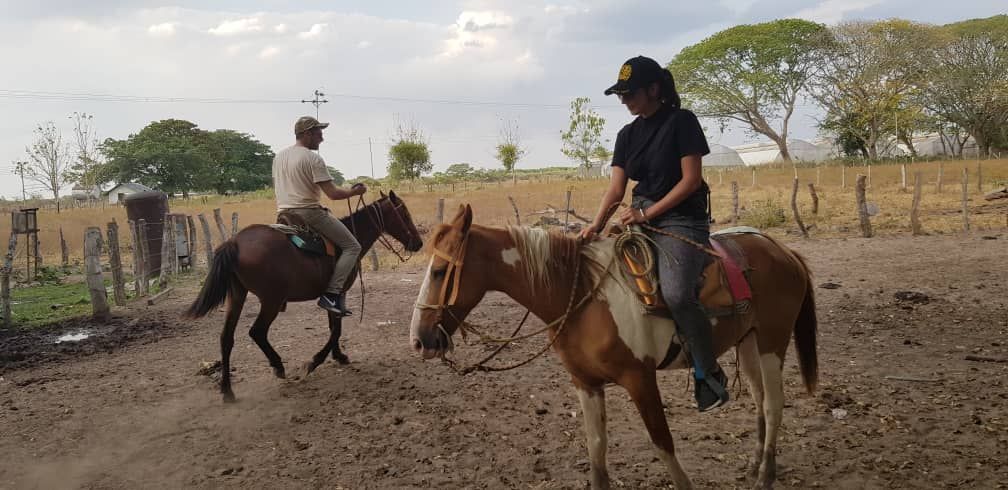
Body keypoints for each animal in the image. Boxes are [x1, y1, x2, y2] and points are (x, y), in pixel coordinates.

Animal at [186, 191, 423, 402]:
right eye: (404, 214)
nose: (419, 243)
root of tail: (234, 242)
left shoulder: (332, 297)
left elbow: (333, 327)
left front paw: (339, 356)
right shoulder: (339, 292)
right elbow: (336, 330)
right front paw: (315, 362)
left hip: (237, 296)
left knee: (226, 338)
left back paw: (227, 390)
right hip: (271, 301)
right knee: (257, 332)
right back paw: (278, 366)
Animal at [409, 204, 818, 490]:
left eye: (440, 272)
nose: (419, 339)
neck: (580, 295)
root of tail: (783, 251)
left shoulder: (640, 379)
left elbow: (662, 442)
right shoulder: (586, 383)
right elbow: (597, 446)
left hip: (772, 341)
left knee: (773, 402)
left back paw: (765, 473)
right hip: (747, 342)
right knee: (759, 397)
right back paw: (755, 463)